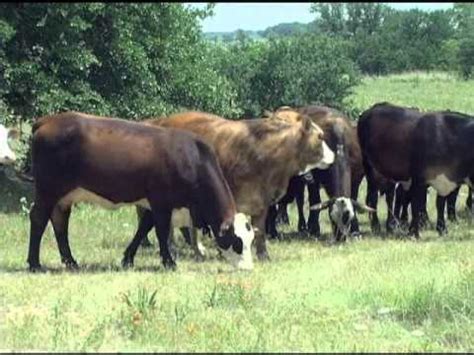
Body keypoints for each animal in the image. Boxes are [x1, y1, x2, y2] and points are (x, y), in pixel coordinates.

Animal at [25, 111, 256, 272]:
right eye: (238, 242)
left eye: (250, 239)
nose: (248, 267)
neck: (191, 158)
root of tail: (47, 121)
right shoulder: (161, 201)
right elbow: (161, 230)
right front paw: (168, 261)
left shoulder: (153, 203)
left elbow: (143, 228)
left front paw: (128, 258)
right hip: (47, 190)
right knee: (38, 218)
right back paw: (35, 263)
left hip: (63, 197)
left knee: (60, 223)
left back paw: (70, 261)